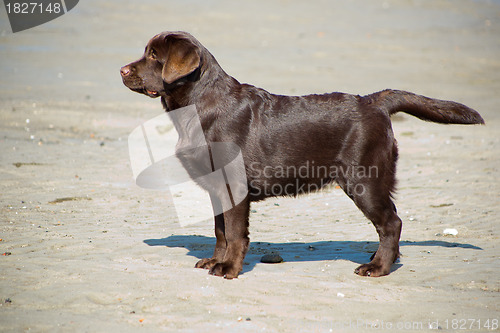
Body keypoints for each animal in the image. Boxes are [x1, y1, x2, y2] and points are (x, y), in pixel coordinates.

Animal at [119, 31, 482, 278]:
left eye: (154, 56)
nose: (122, 70)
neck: (199, 106)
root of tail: (374, 101)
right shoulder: (216, 188)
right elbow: (220, 230)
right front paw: (215, 260)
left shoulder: (234, 185)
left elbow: (235, 232)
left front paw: (229, 269)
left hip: (364, 180)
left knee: (391, 223)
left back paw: (378, 267)